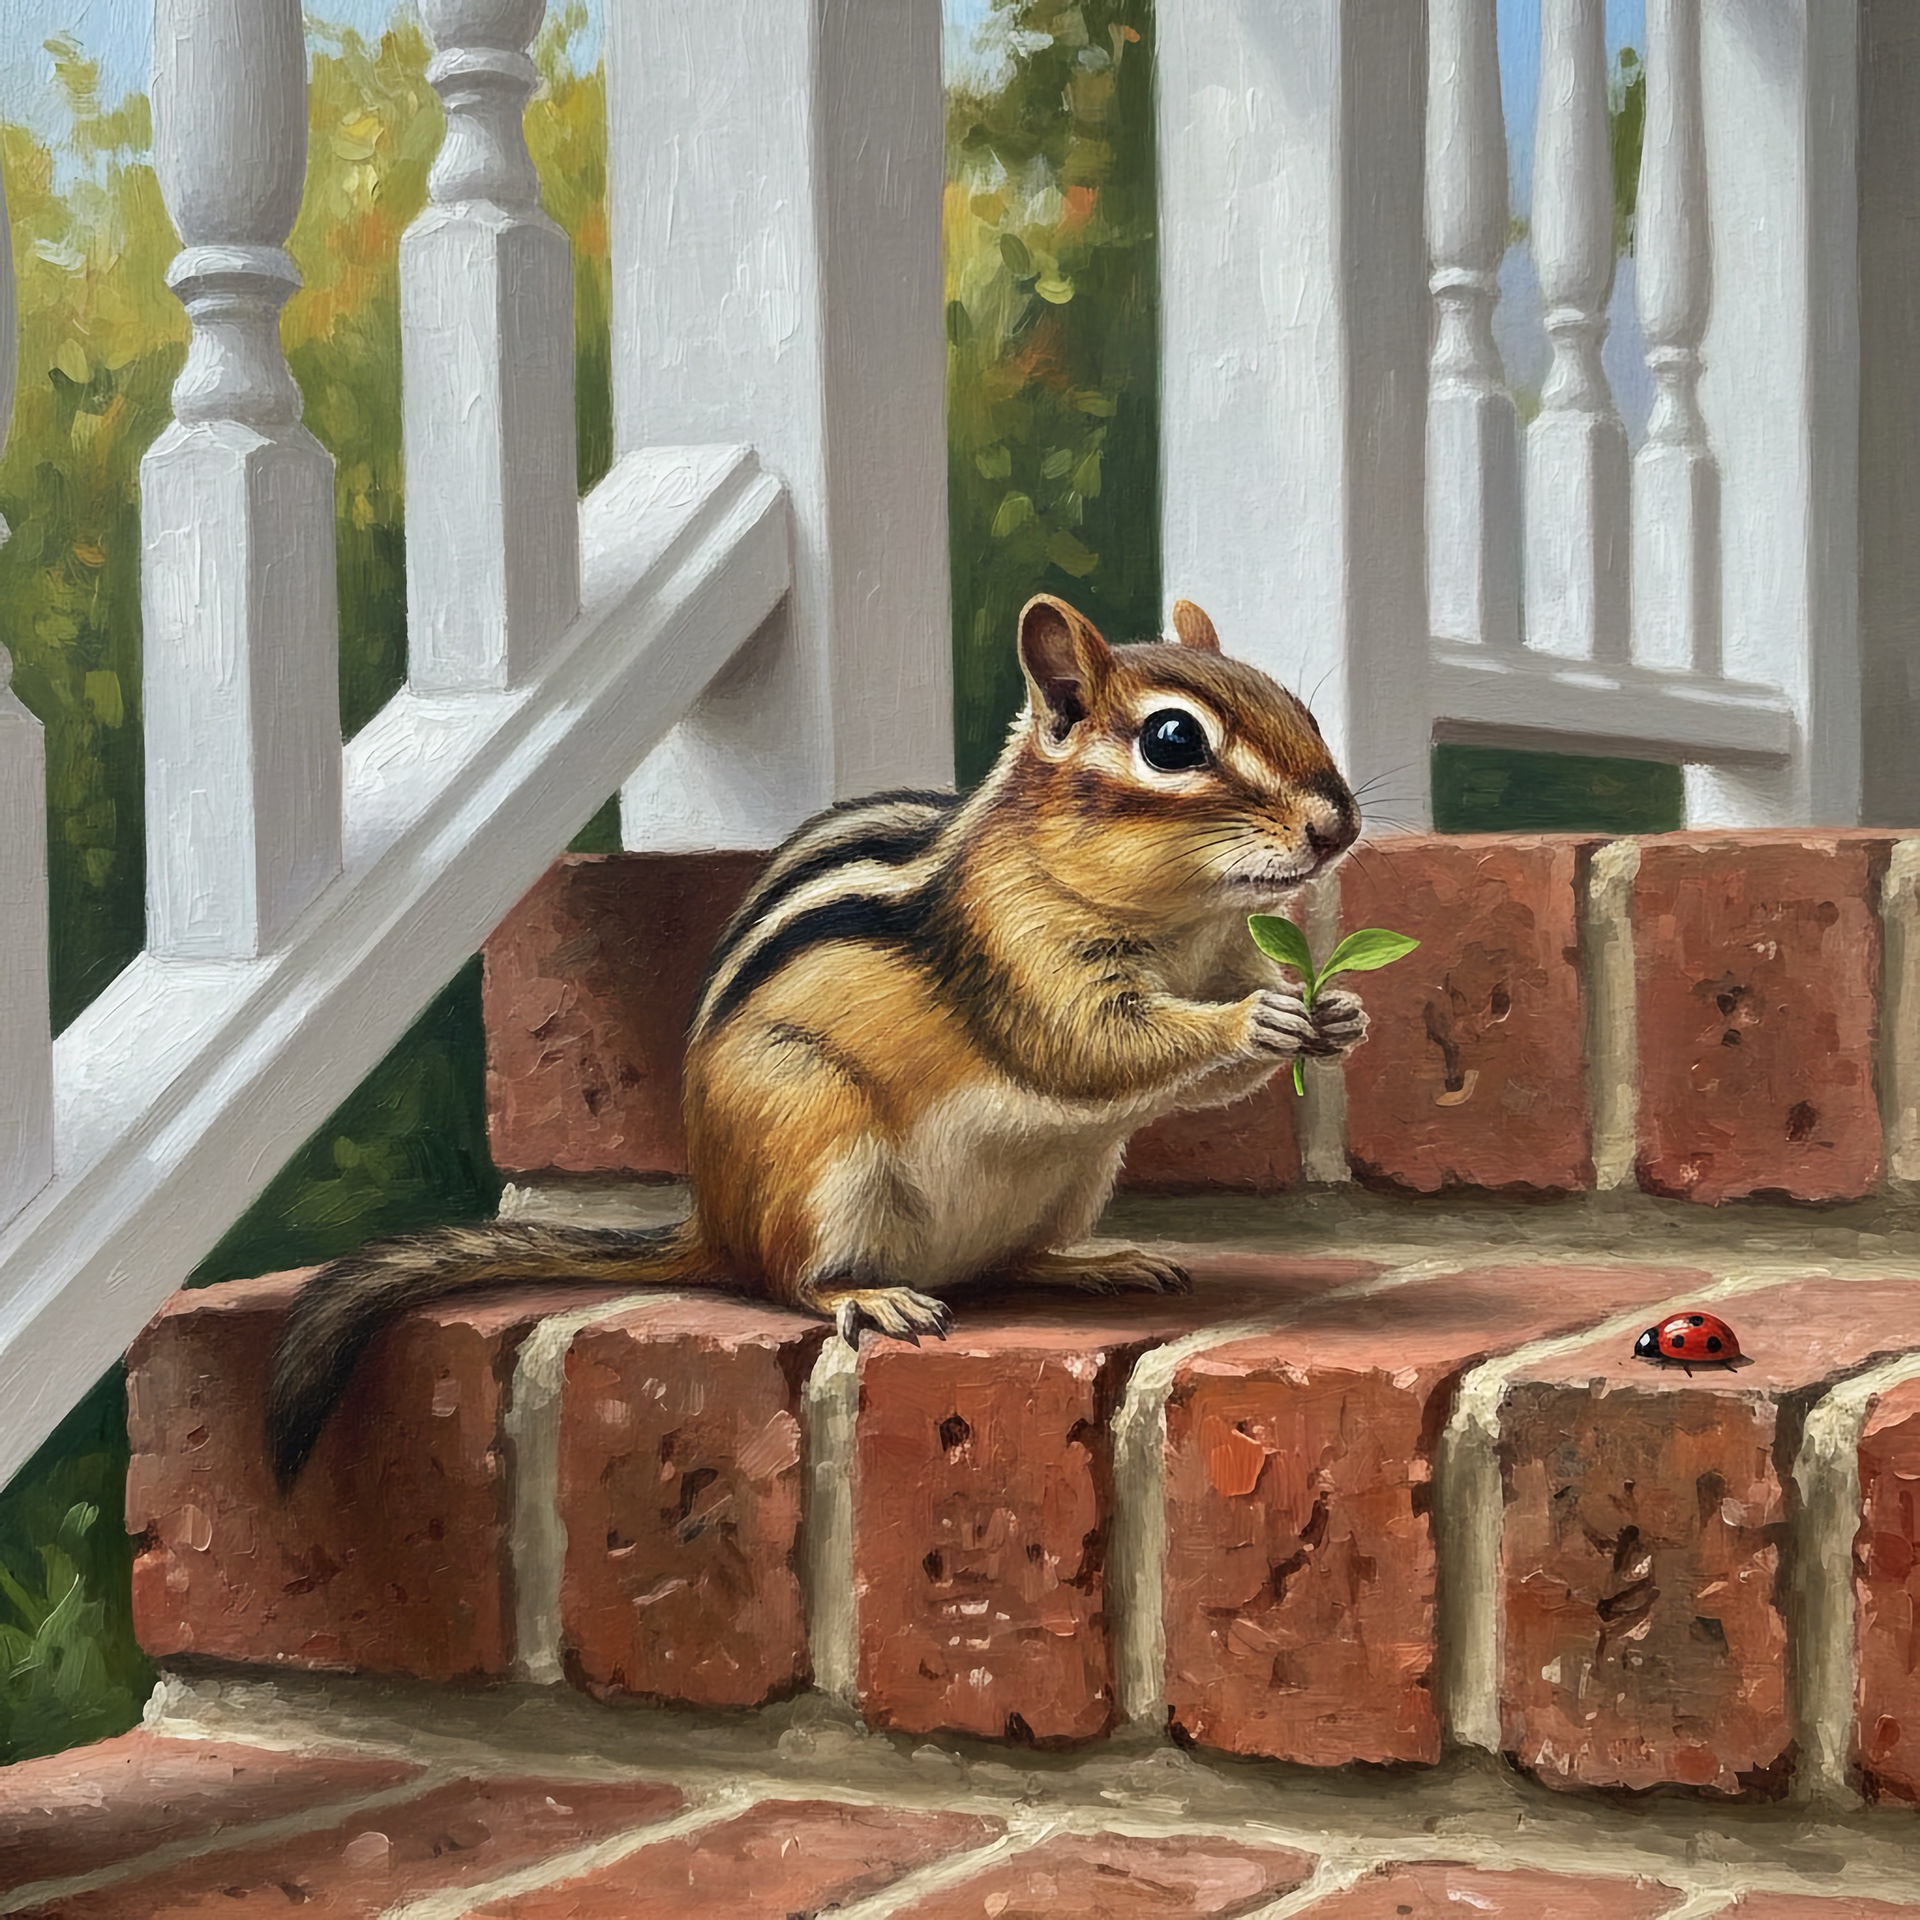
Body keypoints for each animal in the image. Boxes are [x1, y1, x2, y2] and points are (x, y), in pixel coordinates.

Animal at [265, 592, 1367, 1487]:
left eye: (1305, 710)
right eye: (1174, 741)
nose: (1338, 826)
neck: (1179, 922)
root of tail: (714, 1222)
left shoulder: (1220, 951)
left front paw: (1336, 1012)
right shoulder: (1021, 961)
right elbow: (1090, 1046)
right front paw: (1258, 1022)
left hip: (1076, 1171)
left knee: (1006, 1264)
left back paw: (1090, 1263)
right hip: (814, 1136)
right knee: (794, 1281)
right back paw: (873, 1295)